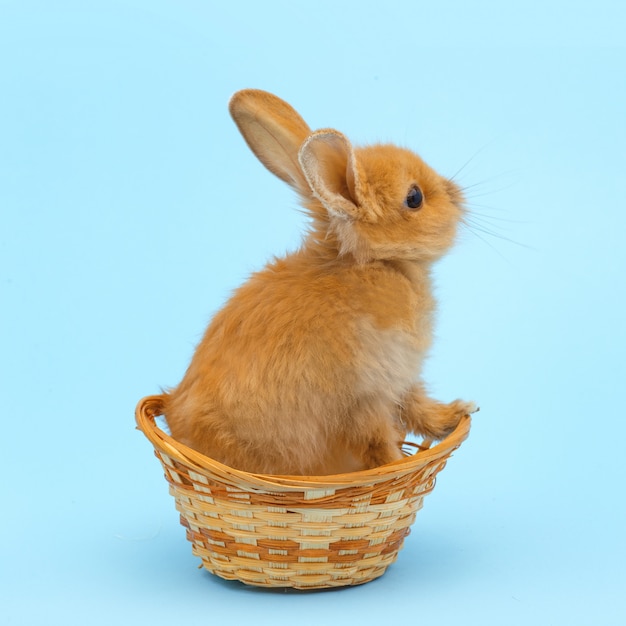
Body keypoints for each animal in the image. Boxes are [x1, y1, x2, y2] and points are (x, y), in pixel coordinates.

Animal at [163, 89, 476, 472]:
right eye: (414, 198)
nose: (457, 193)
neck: (376, 263)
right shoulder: (367, 395)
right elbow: (378, 441)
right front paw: (392, 467)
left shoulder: (402, 380)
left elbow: (418, 407)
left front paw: (455, 415)